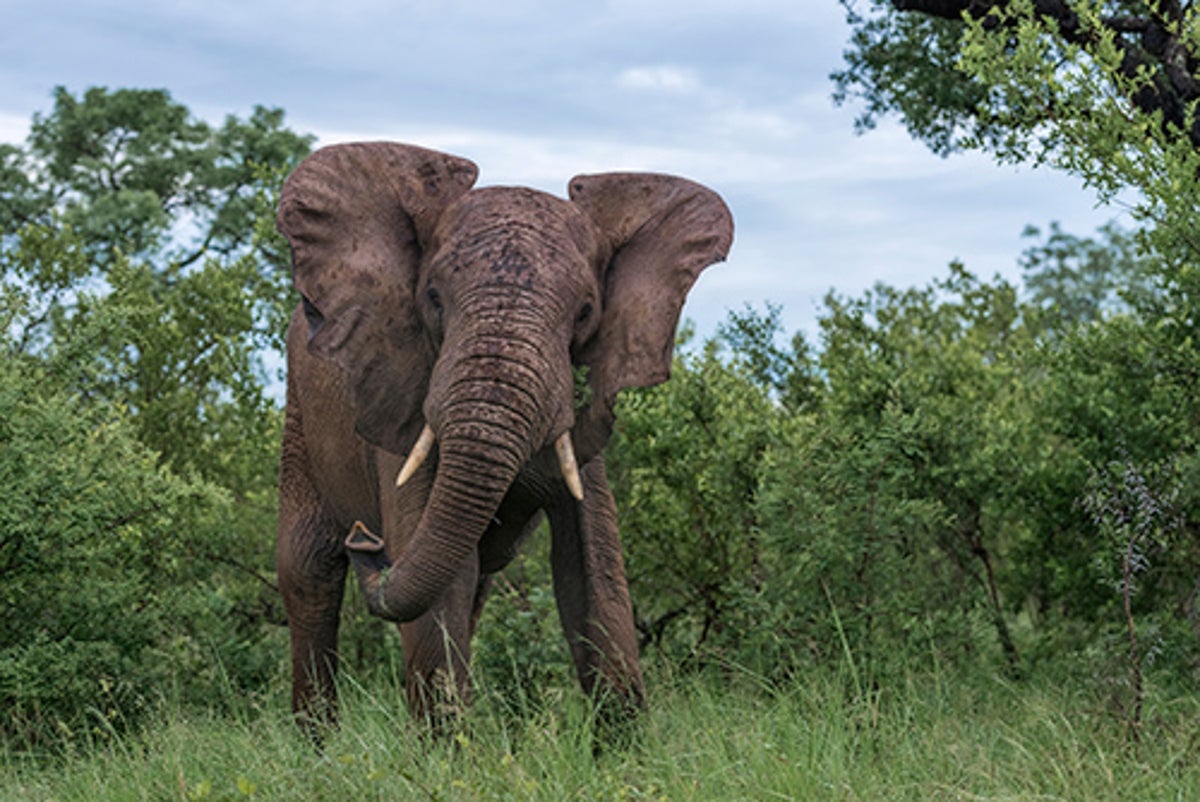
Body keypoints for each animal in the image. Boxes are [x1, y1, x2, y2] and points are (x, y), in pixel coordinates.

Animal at [274, 141, 733, 732]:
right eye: (433, 297)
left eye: (585, 312)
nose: (365, 542)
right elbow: (436, 579)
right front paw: (447, 753)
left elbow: (594, 569)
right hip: (299, 421)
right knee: (309, 574)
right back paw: (317, 747)